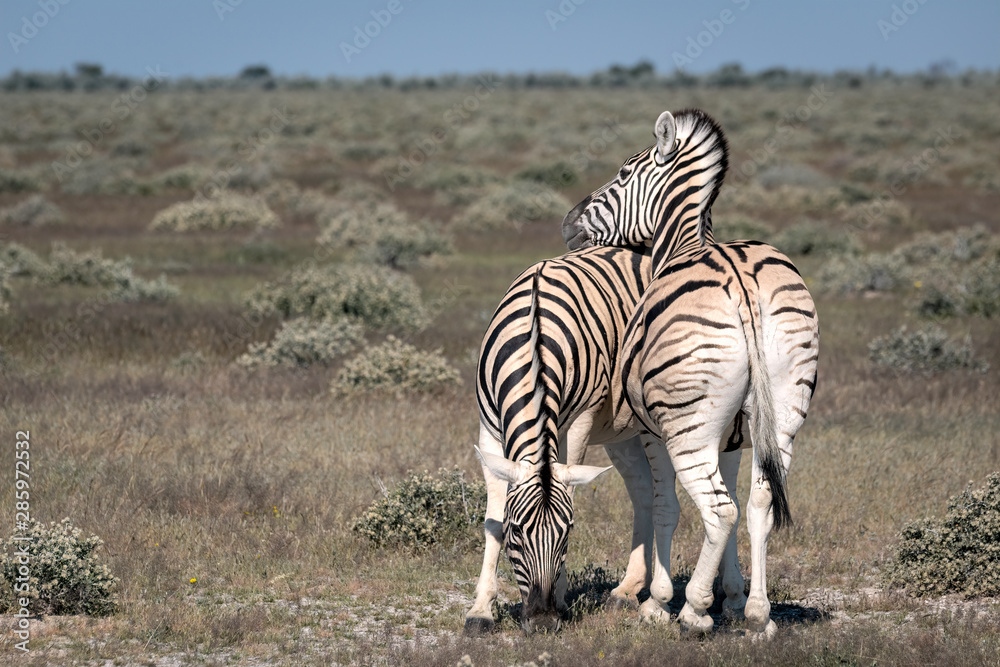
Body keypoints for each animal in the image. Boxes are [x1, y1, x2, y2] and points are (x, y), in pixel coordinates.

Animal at [468, 243, 747, 634]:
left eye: (567, 534)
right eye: (517, 532)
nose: (543, 620)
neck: (534, 338)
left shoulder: (580, 419)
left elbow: (569, 492)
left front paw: (562, 595)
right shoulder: (489, 427)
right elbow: (492, 518)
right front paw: (481, 609)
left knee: (727, 496)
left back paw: (733, 596)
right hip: (624, 434)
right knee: (645, 494)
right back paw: (629, 589)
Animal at [562, 108, 820, 637]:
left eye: (622, 173)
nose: (567, 223)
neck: (684, 243)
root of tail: (742, 285)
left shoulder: (655, 431)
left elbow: (668, 506)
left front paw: (660, 601)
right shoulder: (735, 435)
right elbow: (737, 503)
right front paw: (736, 596)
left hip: (686, 425)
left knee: (718, 510)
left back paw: (693, 612)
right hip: (785, 409)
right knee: (758, 503)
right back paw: (760, 615)